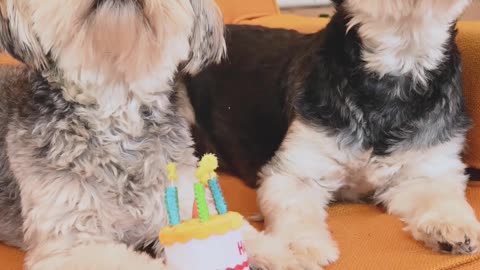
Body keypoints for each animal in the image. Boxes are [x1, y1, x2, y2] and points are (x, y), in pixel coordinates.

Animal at [182, 0, 478, 268]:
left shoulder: (424, 166)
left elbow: (435, 192)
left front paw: (451, 225)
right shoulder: (297, 167)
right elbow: (295, 207)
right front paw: (299, 248)